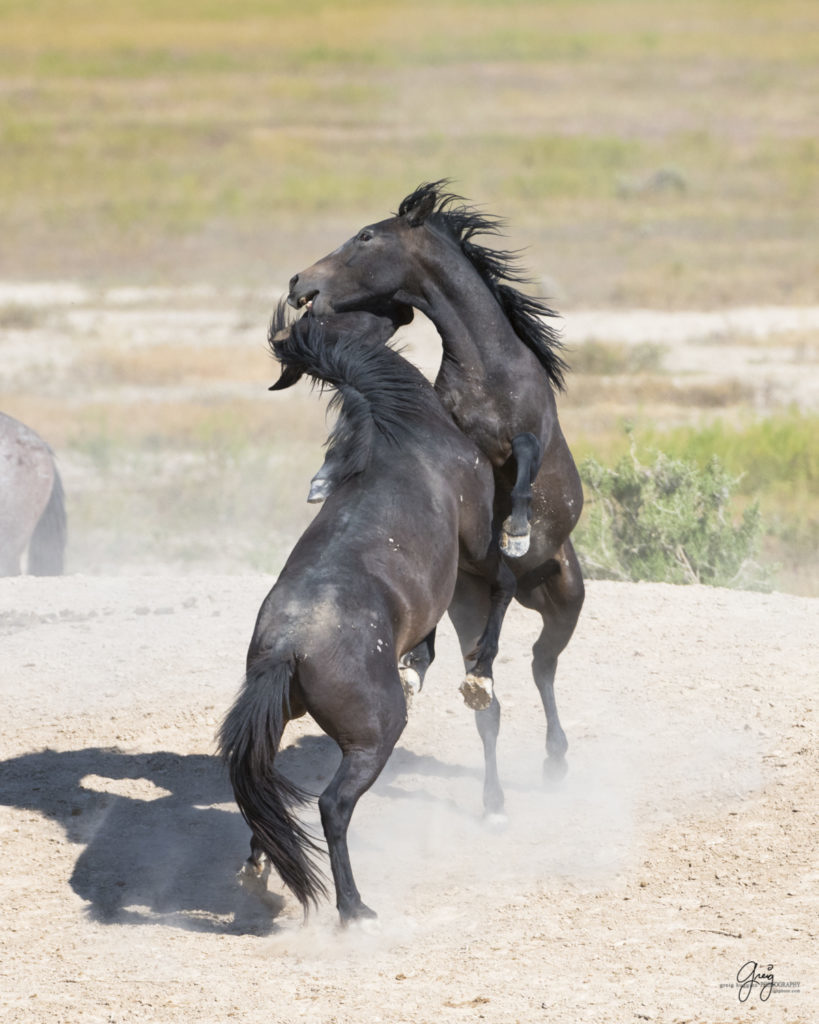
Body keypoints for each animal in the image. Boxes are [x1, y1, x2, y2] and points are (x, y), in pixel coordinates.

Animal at [217, 307, 511, 925]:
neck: (400, 430)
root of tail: (288, 647)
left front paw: (420, 666)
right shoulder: (476, 539)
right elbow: (504, 586)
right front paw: (476, 674)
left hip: (277, 725)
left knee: (264, 792)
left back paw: (259, 874)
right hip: (375, 736)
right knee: (333, 806)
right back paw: (354, 908)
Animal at [288, 184, 581, 786]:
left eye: (366, 236)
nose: (299, 283)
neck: (486, 366)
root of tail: (538, 586)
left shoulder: (532, 433)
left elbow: (524, 458)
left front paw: (517, 530)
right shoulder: (445, 430)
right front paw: (323, 479)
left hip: (566, 603)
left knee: (542, 667)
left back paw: (554, 756)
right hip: (466, 602)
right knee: (494, 678)